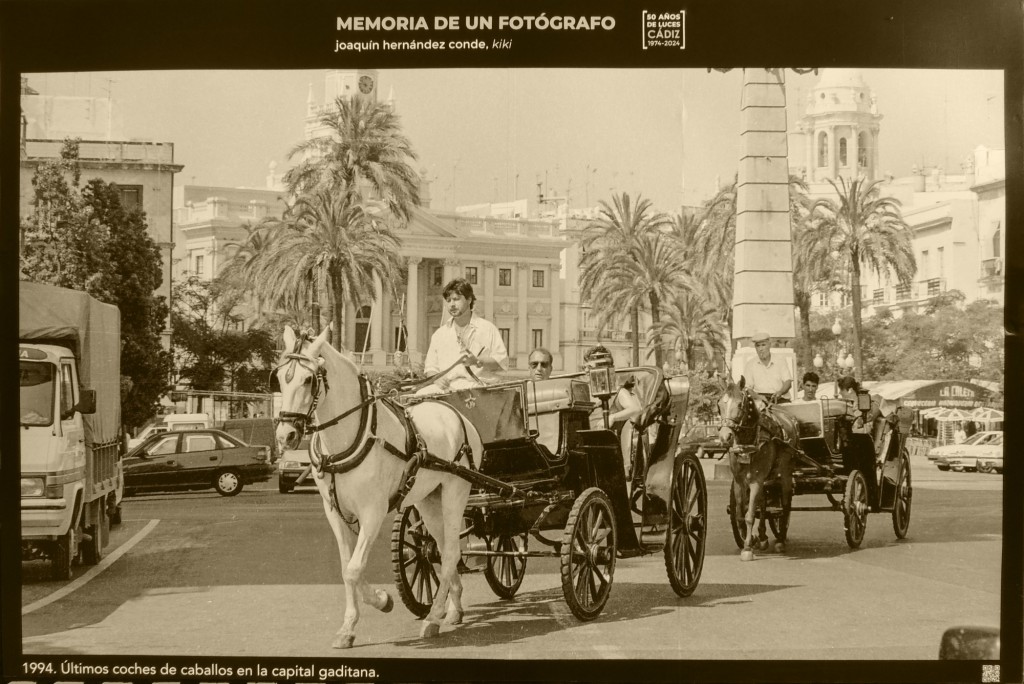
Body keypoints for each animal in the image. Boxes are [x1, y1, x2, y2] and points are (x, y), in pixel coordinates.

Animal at [272, 325, 479, 647]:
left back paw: (433, 618)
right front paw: (349, 626)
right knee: (447, 550)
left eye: (309, 379)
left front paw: (381, 600)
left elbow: (354, 569)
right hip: (429, 501)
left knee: (450, 554)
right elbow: (346, 568)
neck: (351, 436)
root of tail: (457, 415)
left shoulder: (373, 511)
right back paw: (452, 607)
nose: (286, 436)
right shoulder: (334, 512)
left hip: (455, 495)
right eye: (281, 377)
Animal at [716, 376, 794, 557]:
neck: (749, 441)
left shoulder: (756, 480)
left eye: (740, 404)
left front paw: (747, 548)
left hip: (785, 473)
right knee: (764, 503)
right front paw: (750, 538)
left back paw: (780, 540)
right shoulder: (739, 481)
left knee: (785, 505)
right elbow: (740, 513)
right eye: (720, 405)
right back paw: (763, 536)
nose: (725, 436)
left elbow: (750, 514)